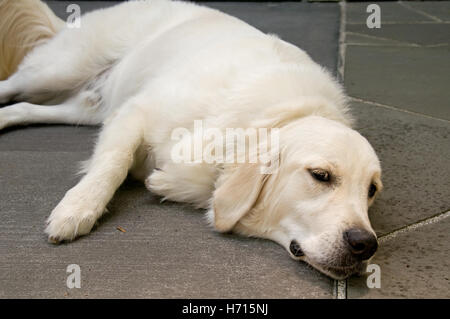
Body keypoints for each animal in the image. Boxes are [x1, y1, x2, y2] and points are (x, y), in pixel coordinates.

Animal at [0, 0, 384, 280]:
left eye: (371, 190)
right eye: (320, 176)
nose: (365, 244)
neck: (273, 116)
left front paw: (161, 184)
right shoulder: (136, 111)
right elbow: (113, 162)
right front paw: (77, 208)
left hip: (85, 106)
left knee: (22, 108)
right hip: (56, 71)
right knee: (11, 87)